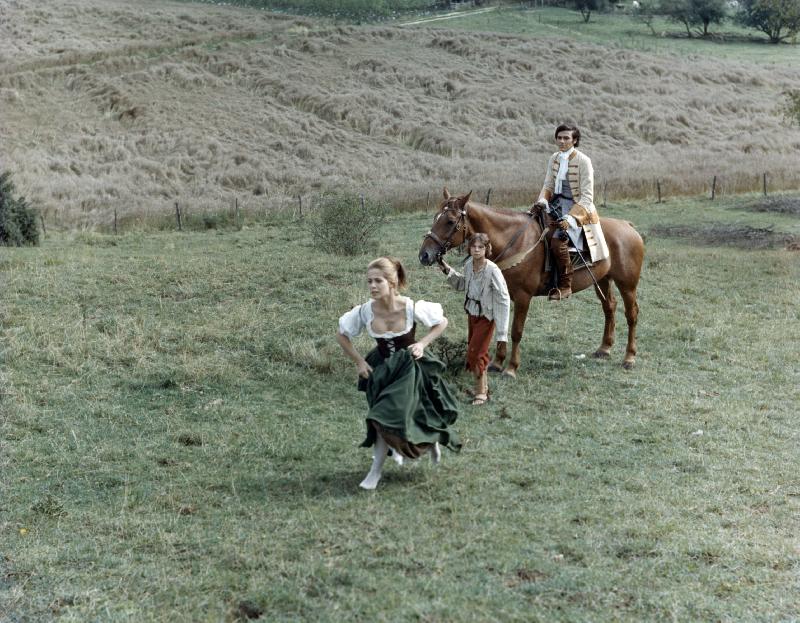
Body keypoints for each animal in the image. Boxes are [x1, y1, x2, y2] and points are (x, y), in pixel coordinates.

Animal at [418, 190, 644, 372]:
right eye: (436, 217)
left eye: (449, 221)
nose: (425, 255)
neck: (513, 241)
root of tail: (628, 226)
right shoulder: (501, 294)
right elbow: (501, 326)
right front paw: (497, 363)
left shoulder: (523, 297)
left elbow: (516, 331)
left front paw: (511, 367)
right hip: (603, 280)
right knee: (609, 307)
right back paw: (604, 349)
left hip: (627, 285)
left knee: (631, 314)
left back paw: (629, 358)